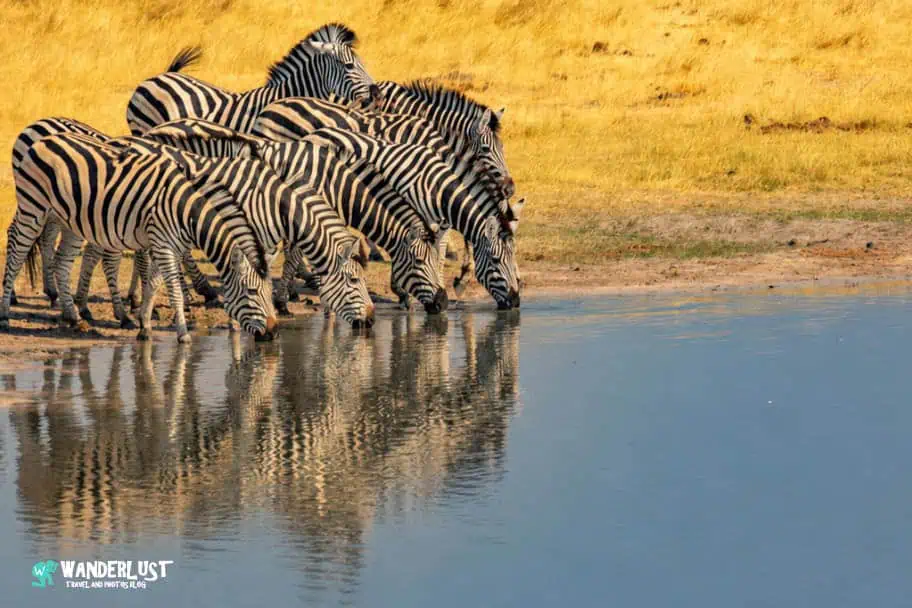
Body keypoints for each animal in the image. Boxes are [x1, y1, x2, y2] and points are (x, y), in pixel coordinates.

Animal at [3, 132, 278, 342]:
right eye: (252, 291)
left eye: (268, 291)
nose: (274, 332)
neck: (185, 210)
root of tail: (43, 140)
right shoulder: (164, 244)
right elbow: (173, 288)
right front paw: (182, 333)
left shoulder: (163, 243)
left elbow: (154, 284)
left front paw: (145, 326)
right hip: (33, 206)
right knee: (16, 251)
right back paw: (6, 314)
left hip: (68, 219)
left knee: (62, 262)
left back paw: (74, 317)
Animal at [125, 119, 448, 314]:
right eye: (419, 262)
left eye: (436, 261)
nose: (443, 302)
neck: (336, 180)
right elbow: (297, 256)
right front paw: (283, 300)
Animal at [270, 127, 524, 309]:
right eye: (495, 260)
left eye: (512, 258)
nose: (515, 302)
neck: (439, 188)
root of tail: (313, 134)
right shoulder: (421, 217)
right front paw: (404, 290)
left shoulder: (439, 223)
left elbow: (436, 252)